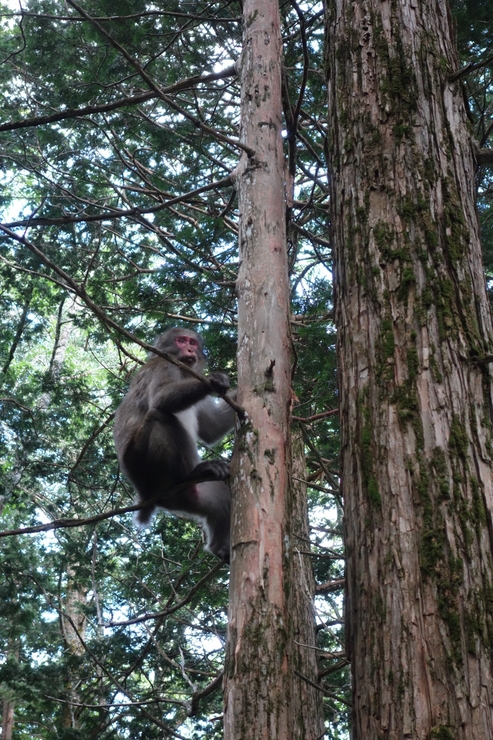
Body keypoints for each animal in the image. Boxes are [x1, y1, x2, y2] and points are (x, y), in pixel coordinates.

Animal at [113, 328, 234, 560]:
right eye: (181, 340)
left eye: (192, 342)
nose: (190, 350)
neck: (184, 372)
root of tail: (146, 495)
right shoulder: (163, 365)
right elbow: (162, 398)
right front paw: (213, 380)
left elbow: (212, 428)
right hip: (142, 466)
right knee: (159, 416)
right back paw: (193, 472)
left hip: (187, 498)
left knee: (221, 494)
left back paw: (219, 548)